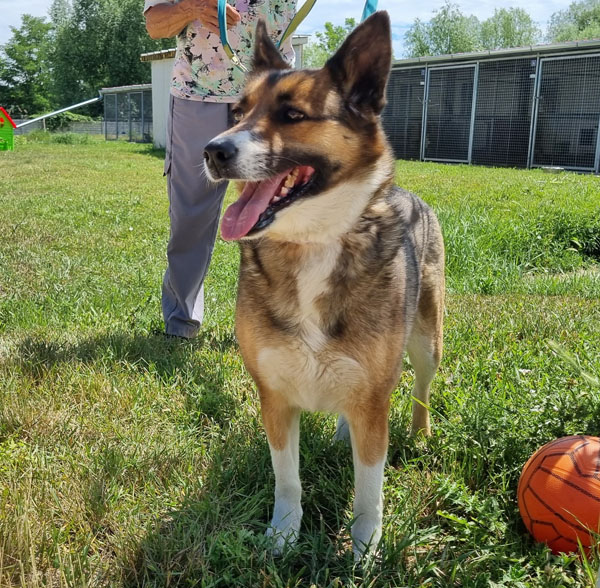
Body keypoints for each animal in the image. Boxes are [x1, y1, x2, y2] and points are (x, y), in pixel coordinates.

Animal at [203, 11, 445, 558]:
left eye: (292, 115)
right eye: (237, 112)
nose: (212, 150)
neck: (312, 242)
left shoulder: (374, 400)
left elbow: (368, 490)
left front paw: (365, 550)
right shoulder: (274, 397)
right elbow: (287, 479)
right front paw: (282, 536)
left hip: (426, 341)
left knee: (421, 389)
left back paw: (419, 433)